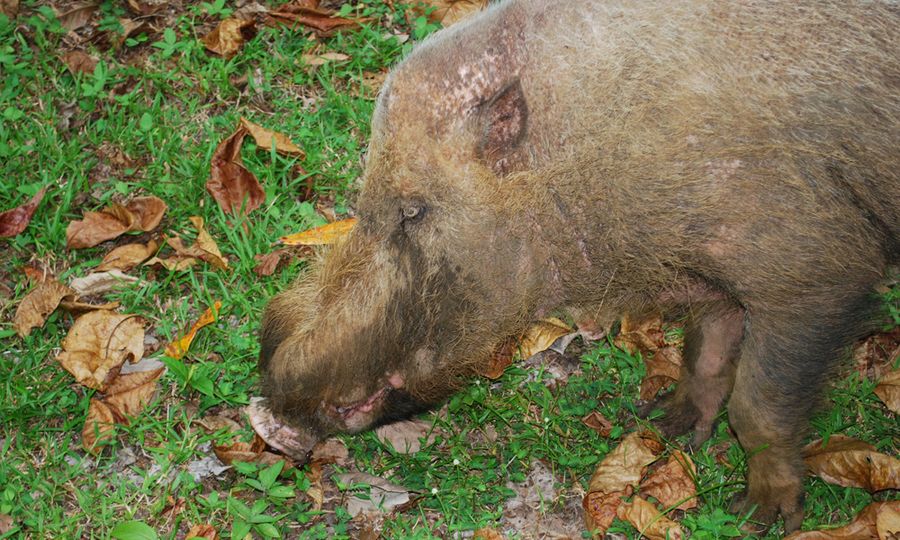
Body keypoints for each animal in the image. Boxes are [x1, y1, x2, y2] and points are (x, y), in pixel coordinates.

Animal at [255, 0, 900, 533]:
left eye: (413, 211)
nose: (269, 419)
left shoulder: (816, 273)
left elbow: (759, 406)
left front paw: (760, 519)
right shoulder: (716, 274)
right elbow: (707, 353)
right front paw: (663, 426)